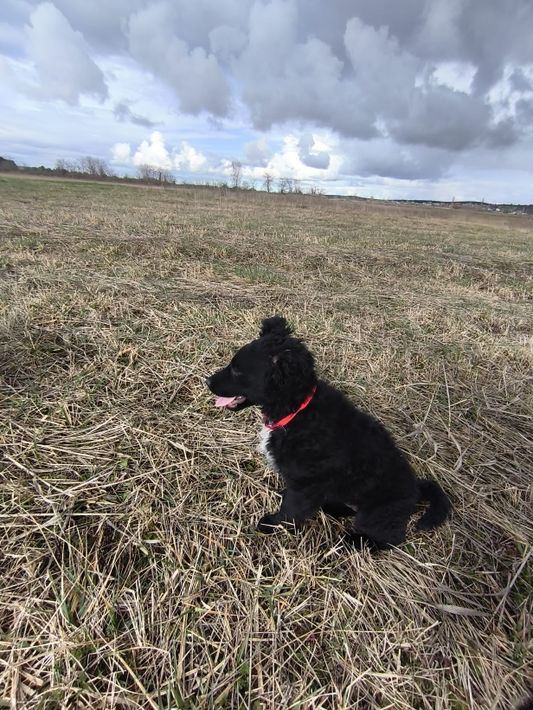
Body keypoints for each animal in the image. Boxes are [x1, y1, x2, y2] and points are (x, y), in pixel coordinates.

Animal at [206, 316, 450, 549]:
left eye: (237, 370)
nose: (206, 381)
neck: (298, 410)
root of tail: (417, 489)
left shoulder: (304, 485)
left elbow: (290, 510)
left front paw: (271, 525)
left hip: (376, 514)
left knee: (390, 538)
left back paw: (351, 542)